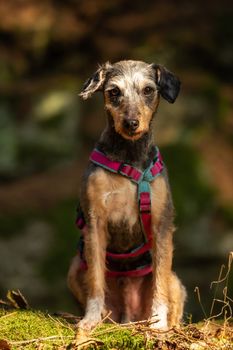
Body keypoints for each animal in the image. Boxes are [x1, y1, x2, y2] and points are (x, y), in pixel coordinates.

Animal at [67, 60, 186, 330]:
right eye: (113, 92)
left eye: (148, 90)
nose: (131, 123)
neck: (129, 156)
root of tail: (129, 314)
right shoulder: (95, 223)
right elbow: (96, 280)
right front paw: (90, 320)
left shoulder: (162, 224)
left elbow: (160, 282)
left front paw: (158, 324)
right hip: (75, 268)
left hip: (177, 283)